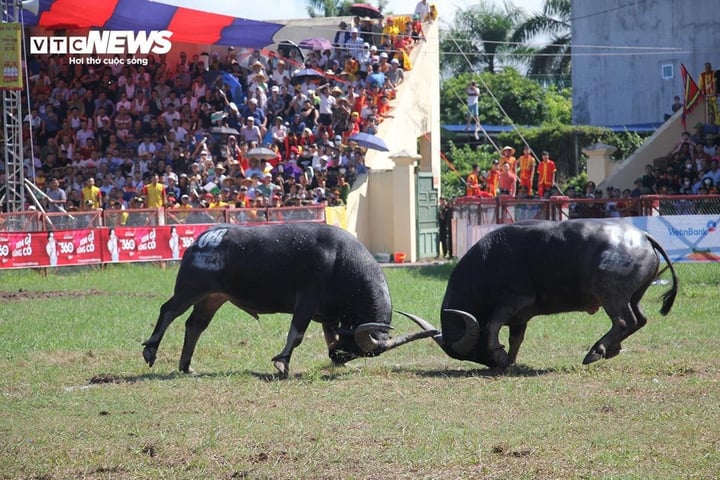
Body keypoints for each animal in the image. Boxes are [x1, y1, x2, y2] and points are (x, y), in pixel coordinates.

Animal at [140, 221, 434, 376]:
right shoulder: (305, 302)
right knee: (168, 311)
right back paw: (150, 350)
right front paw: (282, 362)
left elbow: (329, 335)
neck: (340, 261)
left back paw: (186, 366)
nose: (338, 357)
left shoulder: (329, 315)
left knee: (194, 325)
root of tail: (201, 240)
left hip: (213, 298)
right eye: (355, 346)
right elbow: (297, 334)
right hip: (190, 290)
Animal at [402, 219, 676, 370]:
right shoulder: (519, 318)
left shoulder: (512, 302)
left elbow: (491, 326)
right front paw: (510, 361)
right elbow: (515, 339)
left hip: (612, 295)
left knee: (623, 321)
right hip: (634, 296)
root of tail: (643, 237)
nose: (491, 364)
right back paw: (612, 349)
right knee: (639, 320)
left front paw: (500, 355)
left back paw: (596, 351)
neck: (487, 264)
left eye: (473, 352)